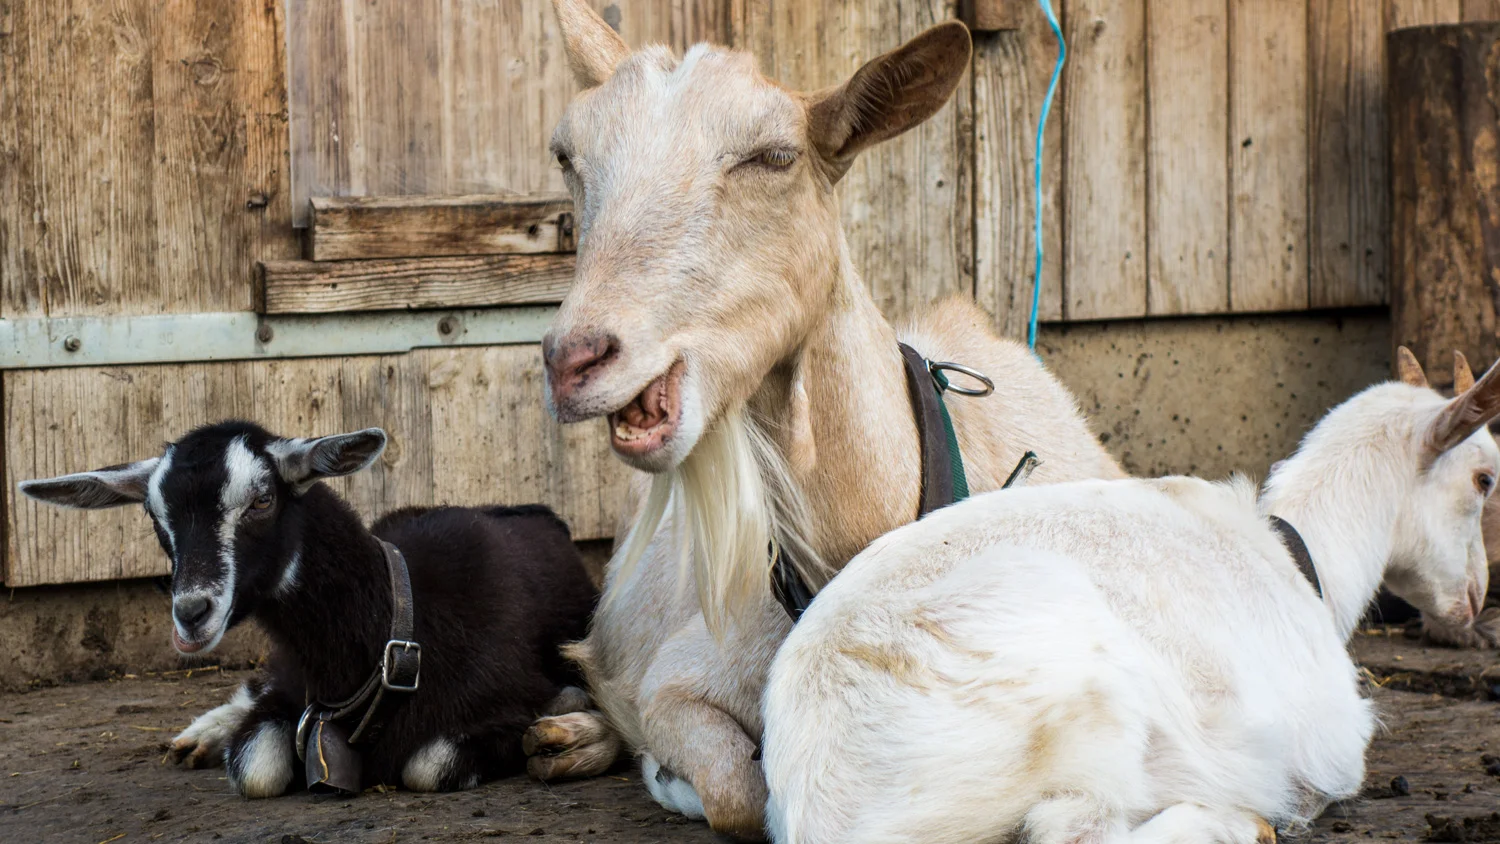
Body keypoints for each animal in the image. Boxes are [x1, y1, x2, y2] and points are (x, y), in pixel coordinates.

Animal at [20, 421, 598, 798]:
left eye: (262, 500)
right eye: (155, 517)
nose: (191, 613)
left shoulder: (504, 703)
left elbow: (429, 765)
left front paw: (564, 705)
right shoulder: (295, 694)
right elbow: (257, 769)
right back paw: (200, 736)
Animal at [761, 350, 1500, 844]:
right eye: (1485, 478)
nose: (1473, 600)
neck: (1302, 555)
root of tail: (823, 801)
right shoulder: (1331, 745)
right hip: (1091, 698)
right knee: (1069, 828)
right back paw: (1236, 822)